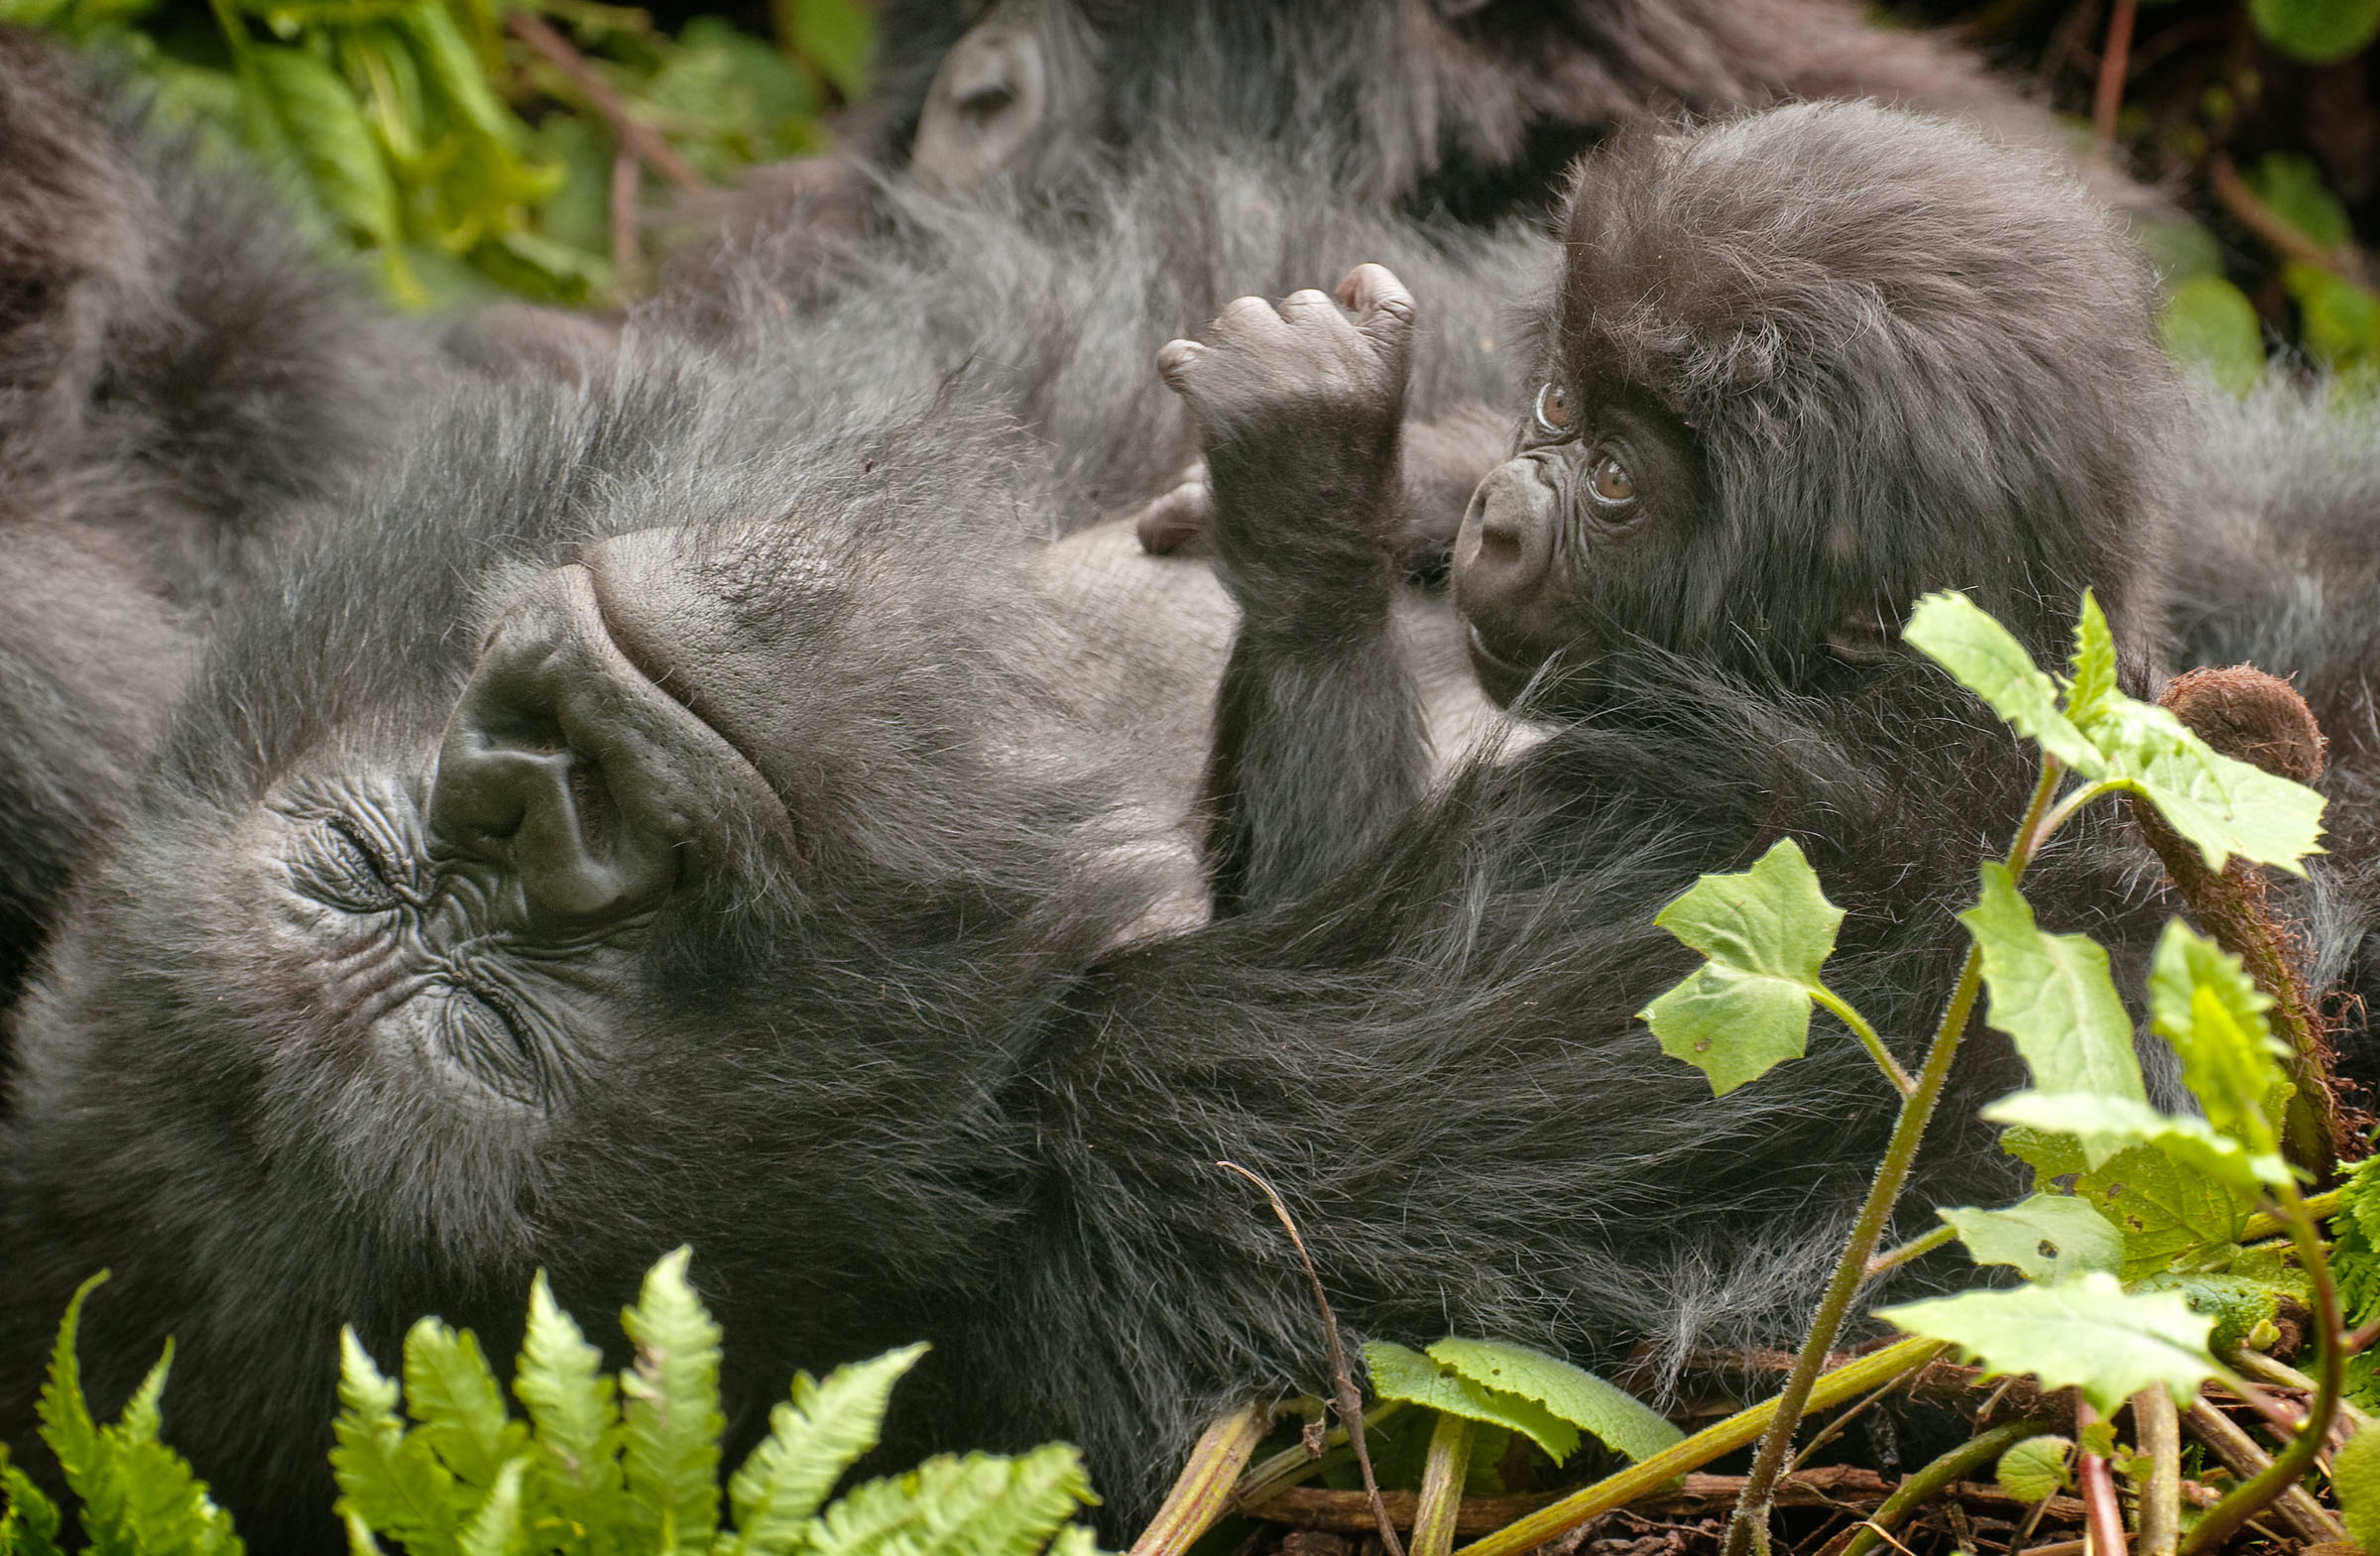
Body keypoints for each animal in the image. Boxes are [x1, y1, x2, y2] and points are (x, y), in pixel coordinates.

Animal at [1161, 103, 2180, 908]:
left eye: (1616, 481)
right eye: (1557, 403)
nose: (1497, 519)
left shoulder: (1692, 830)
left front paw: (1314, 497)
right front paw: (1416, 490)